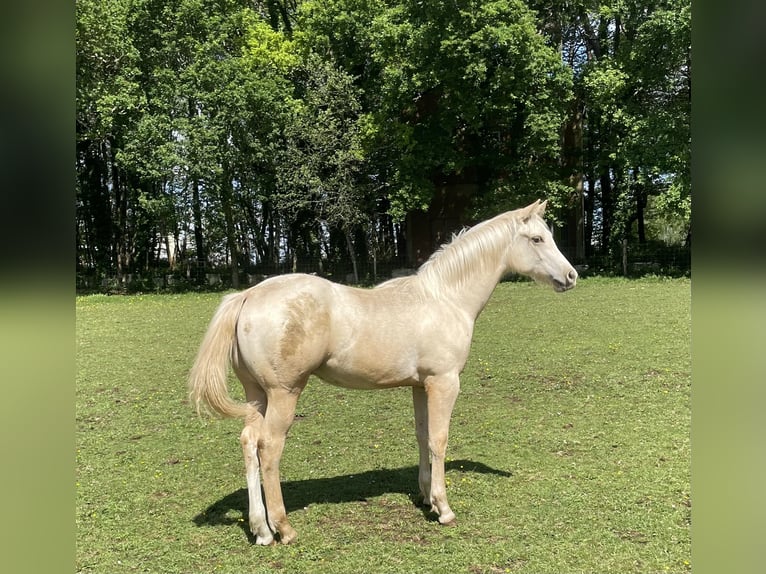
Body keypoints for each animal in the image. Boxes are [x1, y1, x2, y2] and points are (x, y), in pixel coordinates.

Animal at [189, 200, 580, 548]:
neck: (445, 298)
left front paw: (426, 498)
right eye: (537, 239)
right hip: (284, 394)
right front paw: (444, 508)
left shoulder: (421, 386)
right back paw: (283, 529)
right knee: (268, 449)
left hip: (256, 395)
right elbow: (439, 440)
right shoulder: (445, 383)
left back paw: (261, 530)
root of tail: (249, 295)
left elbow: (423, 437)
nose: (571, 276)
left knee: (248, 443)